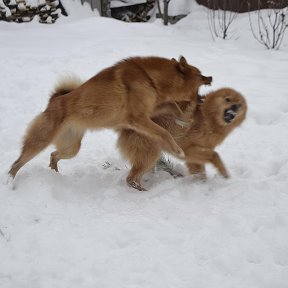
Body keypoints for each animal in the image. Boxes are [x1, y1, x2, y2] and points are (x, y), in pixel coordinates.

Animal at [9, 55, 212, 179]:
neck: (150, 78)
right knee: (17, 162)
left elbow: (173, 107)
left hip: (71, 147)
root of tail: (54, 100)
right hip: (40, 141)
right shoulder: (138, 118)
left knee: (53, 154)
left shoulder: (152, 110)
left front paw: (184, 119)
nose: (210, 77)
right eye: (199, 73)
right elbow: (164, 133)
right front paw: (178, 150)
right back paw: (10, 181)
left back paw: (54, 173)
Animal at [118, 88, 246, 191]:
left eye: (239, 104)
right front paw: (224, 174)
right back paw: (143, 191)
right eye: (227, 99)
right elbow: (214, 155)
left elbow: (200, 172)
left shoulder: (194, 155)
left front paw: (201, 185)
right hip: (151, 152)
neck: (207, 117)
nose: (235, 106)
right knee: (131, 179)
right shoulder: (187, 148)